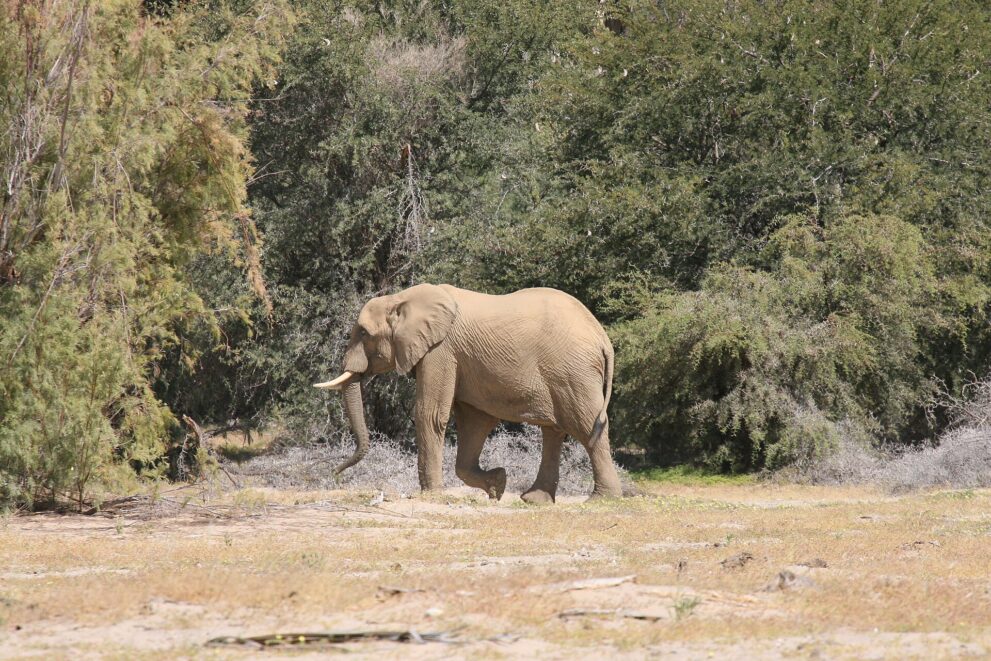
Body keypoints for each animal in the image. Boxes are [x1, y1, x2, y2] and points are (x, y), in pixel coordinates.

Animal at [314, 284, 623, 503]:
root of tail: (602, 337)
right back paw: (534, 500)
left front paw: (431, 494)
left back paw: (601, 500)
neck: (401, 298)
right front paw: (497, 485)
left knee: (587, 426)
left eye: (364, 334)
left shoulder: (440, 351)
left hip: (573, 372)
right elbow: (475, 423)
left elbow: (430, 414)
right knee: (554, 431)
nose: (334, 475)